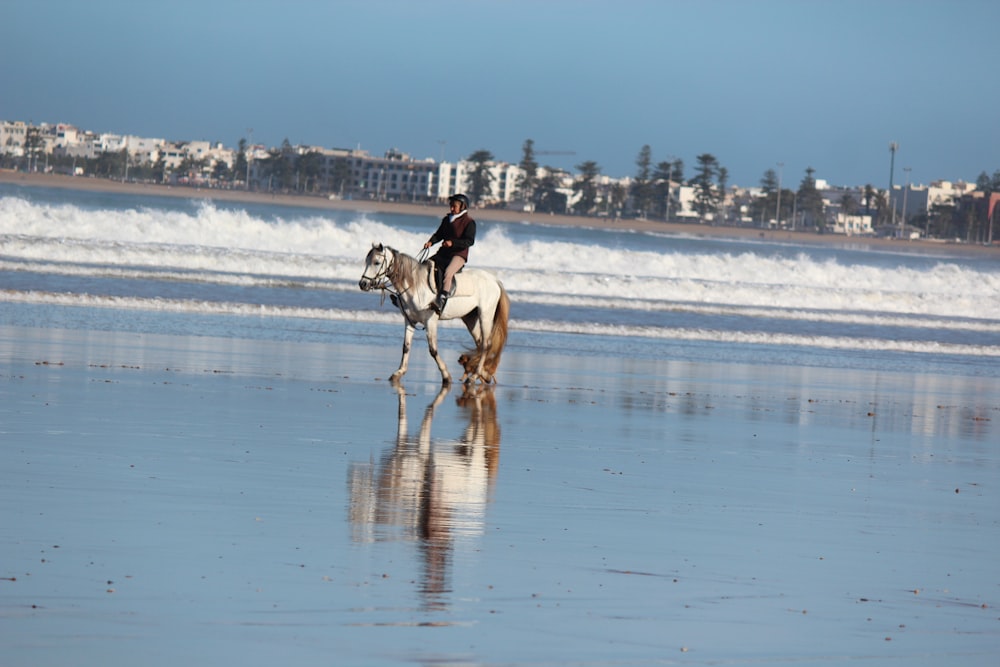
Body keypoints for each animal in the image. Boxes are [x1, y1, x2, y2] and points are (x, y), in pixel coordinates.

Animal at [358, 243, 508, 384]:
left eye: (377, 262)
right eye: (366, 261)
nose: (363, 284)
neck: (415, 286)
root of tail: (494, 280)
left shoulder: (430, 321)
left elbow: (433, 350)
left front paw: (446, 375)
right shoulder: (410, 320)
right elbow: (406, 347)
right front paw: (399, 372)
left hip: (485, 316)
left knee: (486, 345)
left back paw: (475, 376)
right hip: (470, 318)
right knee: (480, 344)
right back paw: (484, 375)